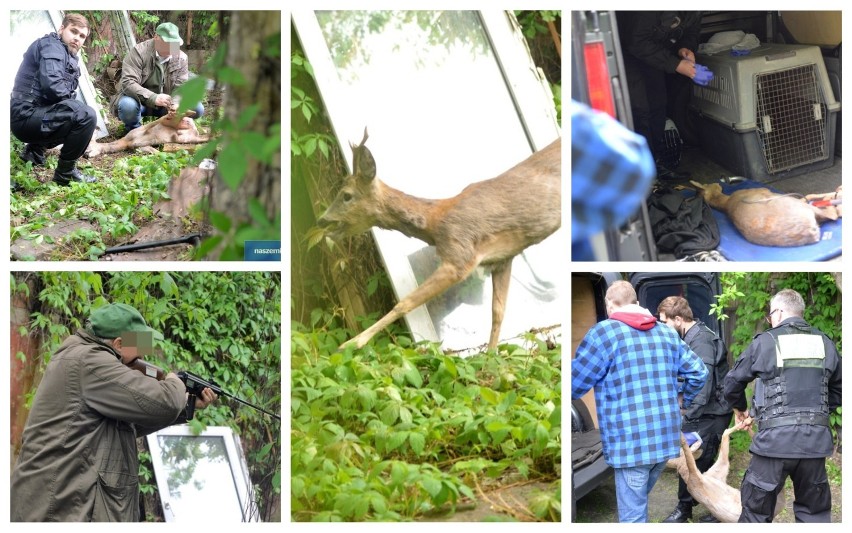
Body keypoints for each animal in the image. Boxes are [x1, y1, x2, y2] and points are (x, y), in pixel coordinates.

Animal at [318, 129, 560, 352]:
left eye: (346, 195)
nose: (322, 220)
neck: (435, 224)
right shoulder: (502, 258)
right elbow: (498, 312)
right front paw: (490, 359)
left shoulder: (459, 256)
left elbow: (405, 303)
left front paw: (350, 344)